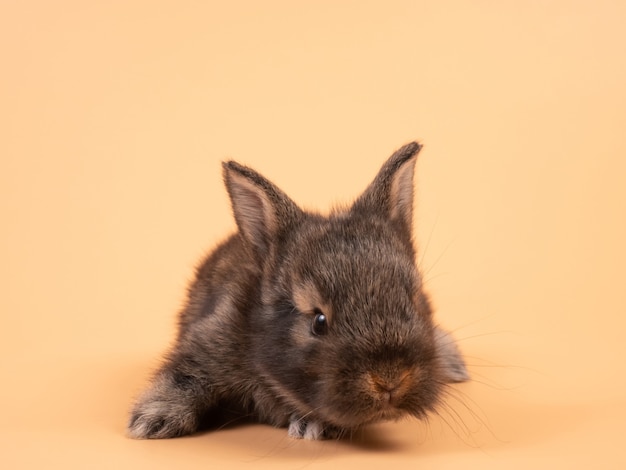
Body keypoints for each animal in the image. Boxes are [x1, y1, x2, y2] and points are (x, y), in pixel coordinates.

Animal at [128, 142, 468, 440]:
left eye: (414, 302)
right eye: (318, 321)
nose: (389, 381)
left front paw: (312, 425)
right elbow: (184, 377)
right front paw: (151, 421)